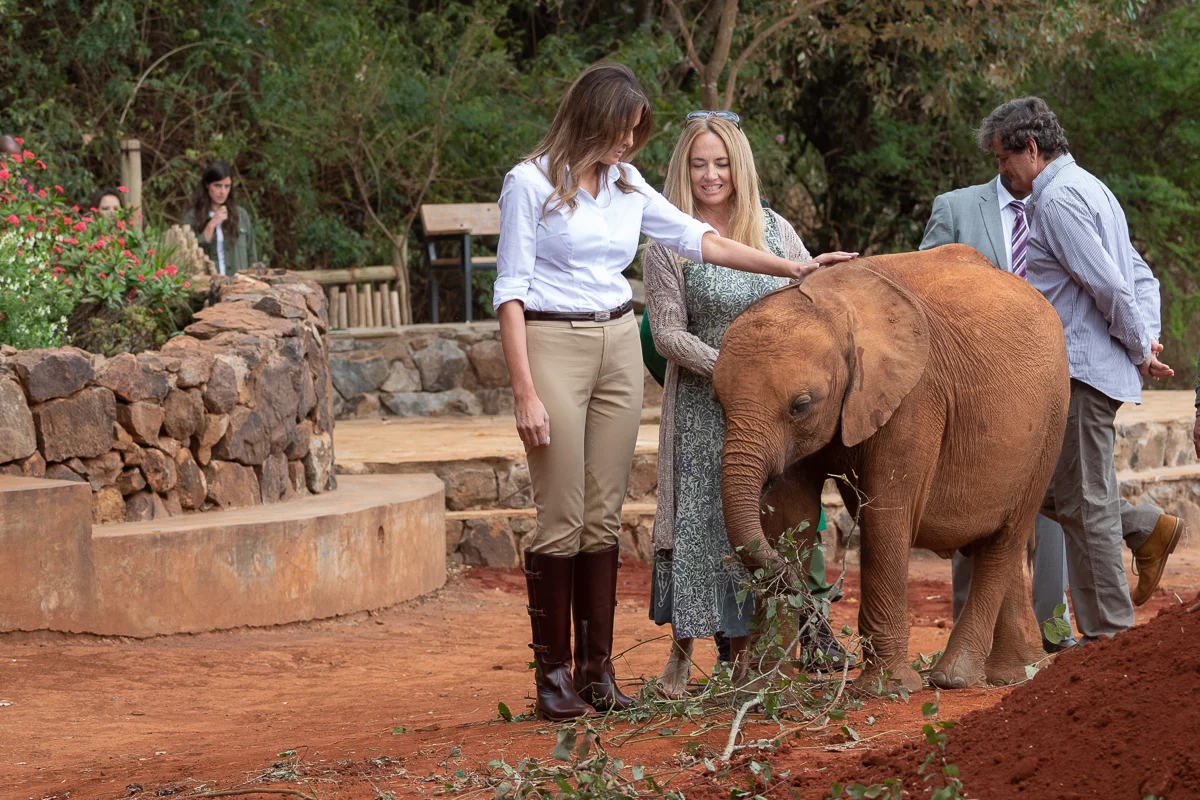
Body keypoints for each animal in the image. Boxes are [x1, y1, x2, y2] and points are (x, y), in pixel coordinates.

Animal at [710, 247, 1070, 690]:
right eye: (717, 402)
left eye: (800, 405)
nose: (804, 587)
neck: (836, 311)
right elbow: (791, 514)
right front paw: (762, 687)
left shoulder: (915, 395)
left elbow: (886, 511)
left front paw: (887, 689)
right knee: (996, 543)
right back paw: (1017, 674)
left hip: (1052, 423)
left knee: (1005, 540)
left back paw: (953, 678)